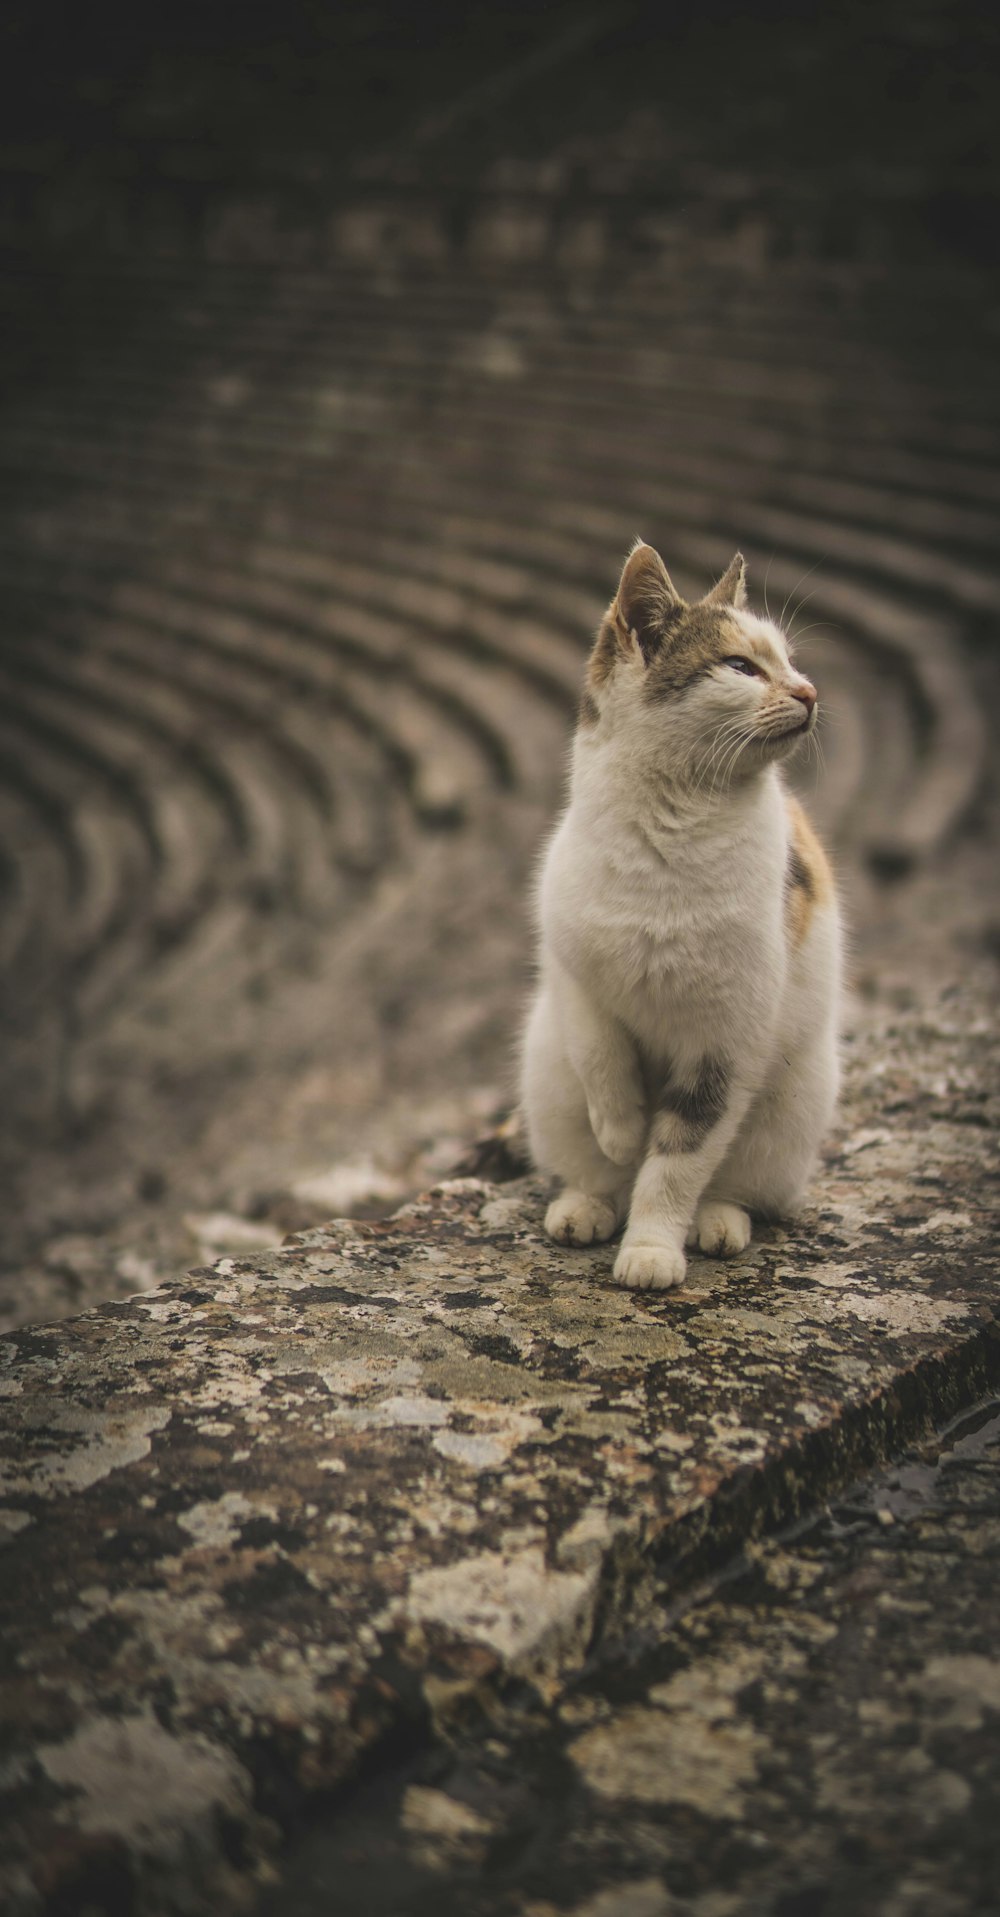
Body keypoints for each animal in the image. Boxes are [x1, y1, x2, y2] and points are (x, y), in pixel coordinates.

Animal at [517, 540, 835, 1288]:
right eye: (742, 666)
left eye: (790, 662)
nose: (810, 691)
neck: (672, 830)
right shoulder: (574, 973)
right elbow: (601, 1056)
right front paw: (621, 1130)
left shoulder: (724, 1045)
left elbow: (678, 1161)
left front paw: (652, 1248)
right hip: (545, 1073)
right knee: (592, 1168)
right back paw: (586, 1204)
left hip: (790, 1105)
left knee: (734, 1184)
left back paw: (717, 1224)